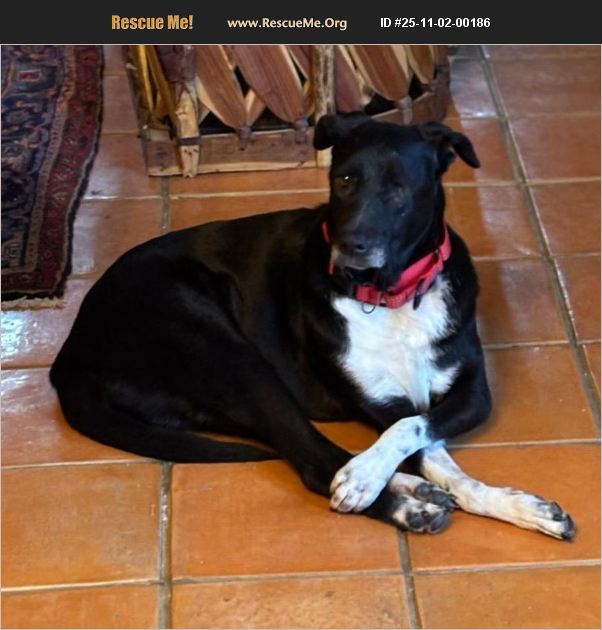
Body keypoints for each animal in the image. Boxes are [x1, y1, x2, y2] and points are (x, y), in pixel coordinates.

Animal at [50, 114, 575, 540]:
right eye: (344, 180)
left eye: (398, 189)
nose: (351, 247)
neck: (391, 299)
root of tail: (70, 350)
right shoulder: (380, 401)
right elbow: (406, 430)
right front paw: (367, 478)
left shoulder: (472, 394)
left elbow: (427, 442)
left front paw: (517, 506)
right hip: (232, 359)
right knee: (312, 460)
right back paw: (404, 504)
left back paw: (412, 488)